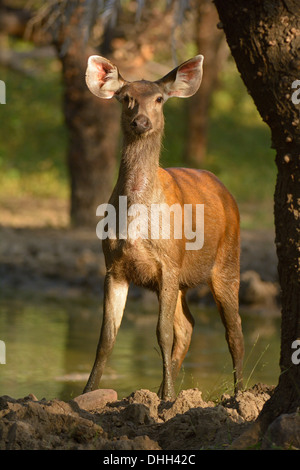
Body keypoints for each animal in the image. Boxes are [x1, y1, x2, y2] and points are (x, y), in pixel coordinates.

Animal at [82, 54, 244, 400]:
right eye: (125, 98)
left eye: (159, 99)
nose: (141, 121)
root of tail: (223, 187)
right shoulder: (113, 266)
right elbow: (106, 338)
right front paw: (86, 392)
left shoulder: (169, 261)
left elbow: (162, 332)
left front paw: (168, 399)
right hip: (184, 279)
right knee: (189, 324)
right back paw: (159, 391)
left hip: (227, 261)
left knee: (233, 329)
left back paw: (239, 394)